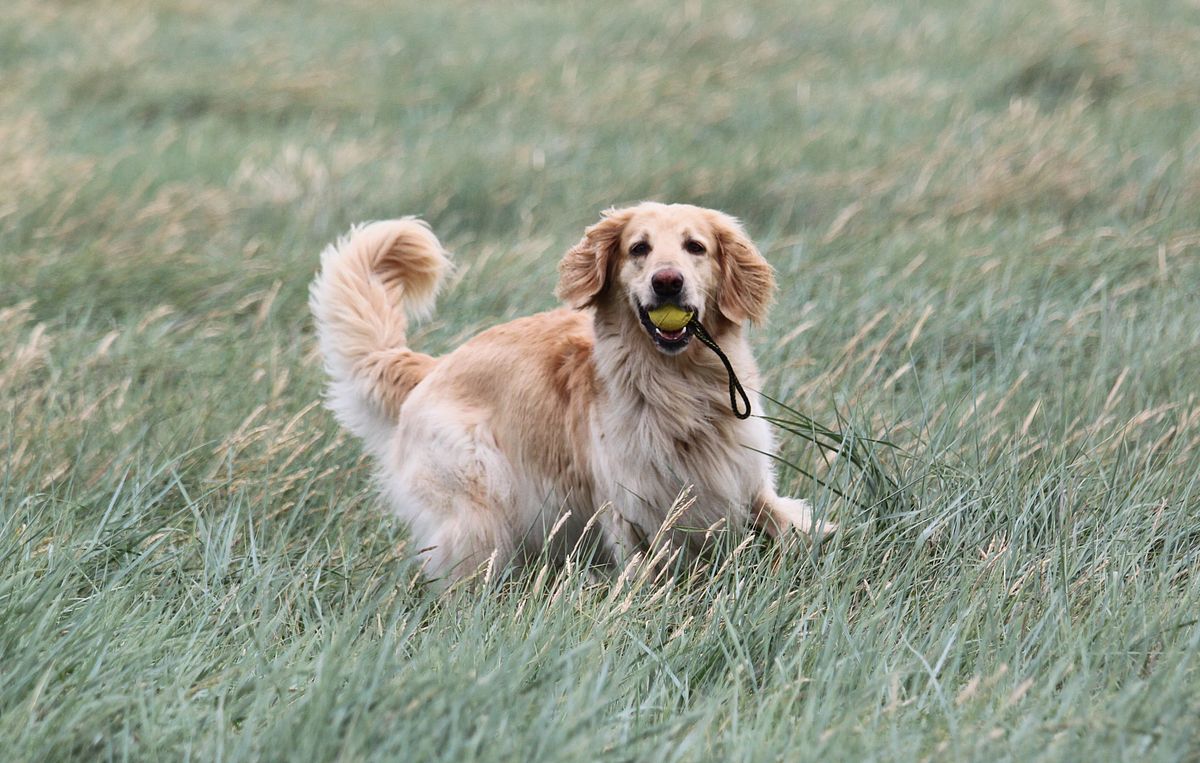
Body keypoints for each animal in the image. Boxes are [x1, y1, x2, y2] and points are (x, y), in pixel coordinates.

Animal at [310, 202, 831, 585]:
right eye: (638, 248)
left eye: (695, 247)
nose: (667, 281)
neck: (676, 387)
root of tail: (434, 367)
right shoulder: (630, 510)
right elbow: (646, 573)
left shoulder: (742, 476)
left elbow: (786, 520)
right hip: (479, 510)